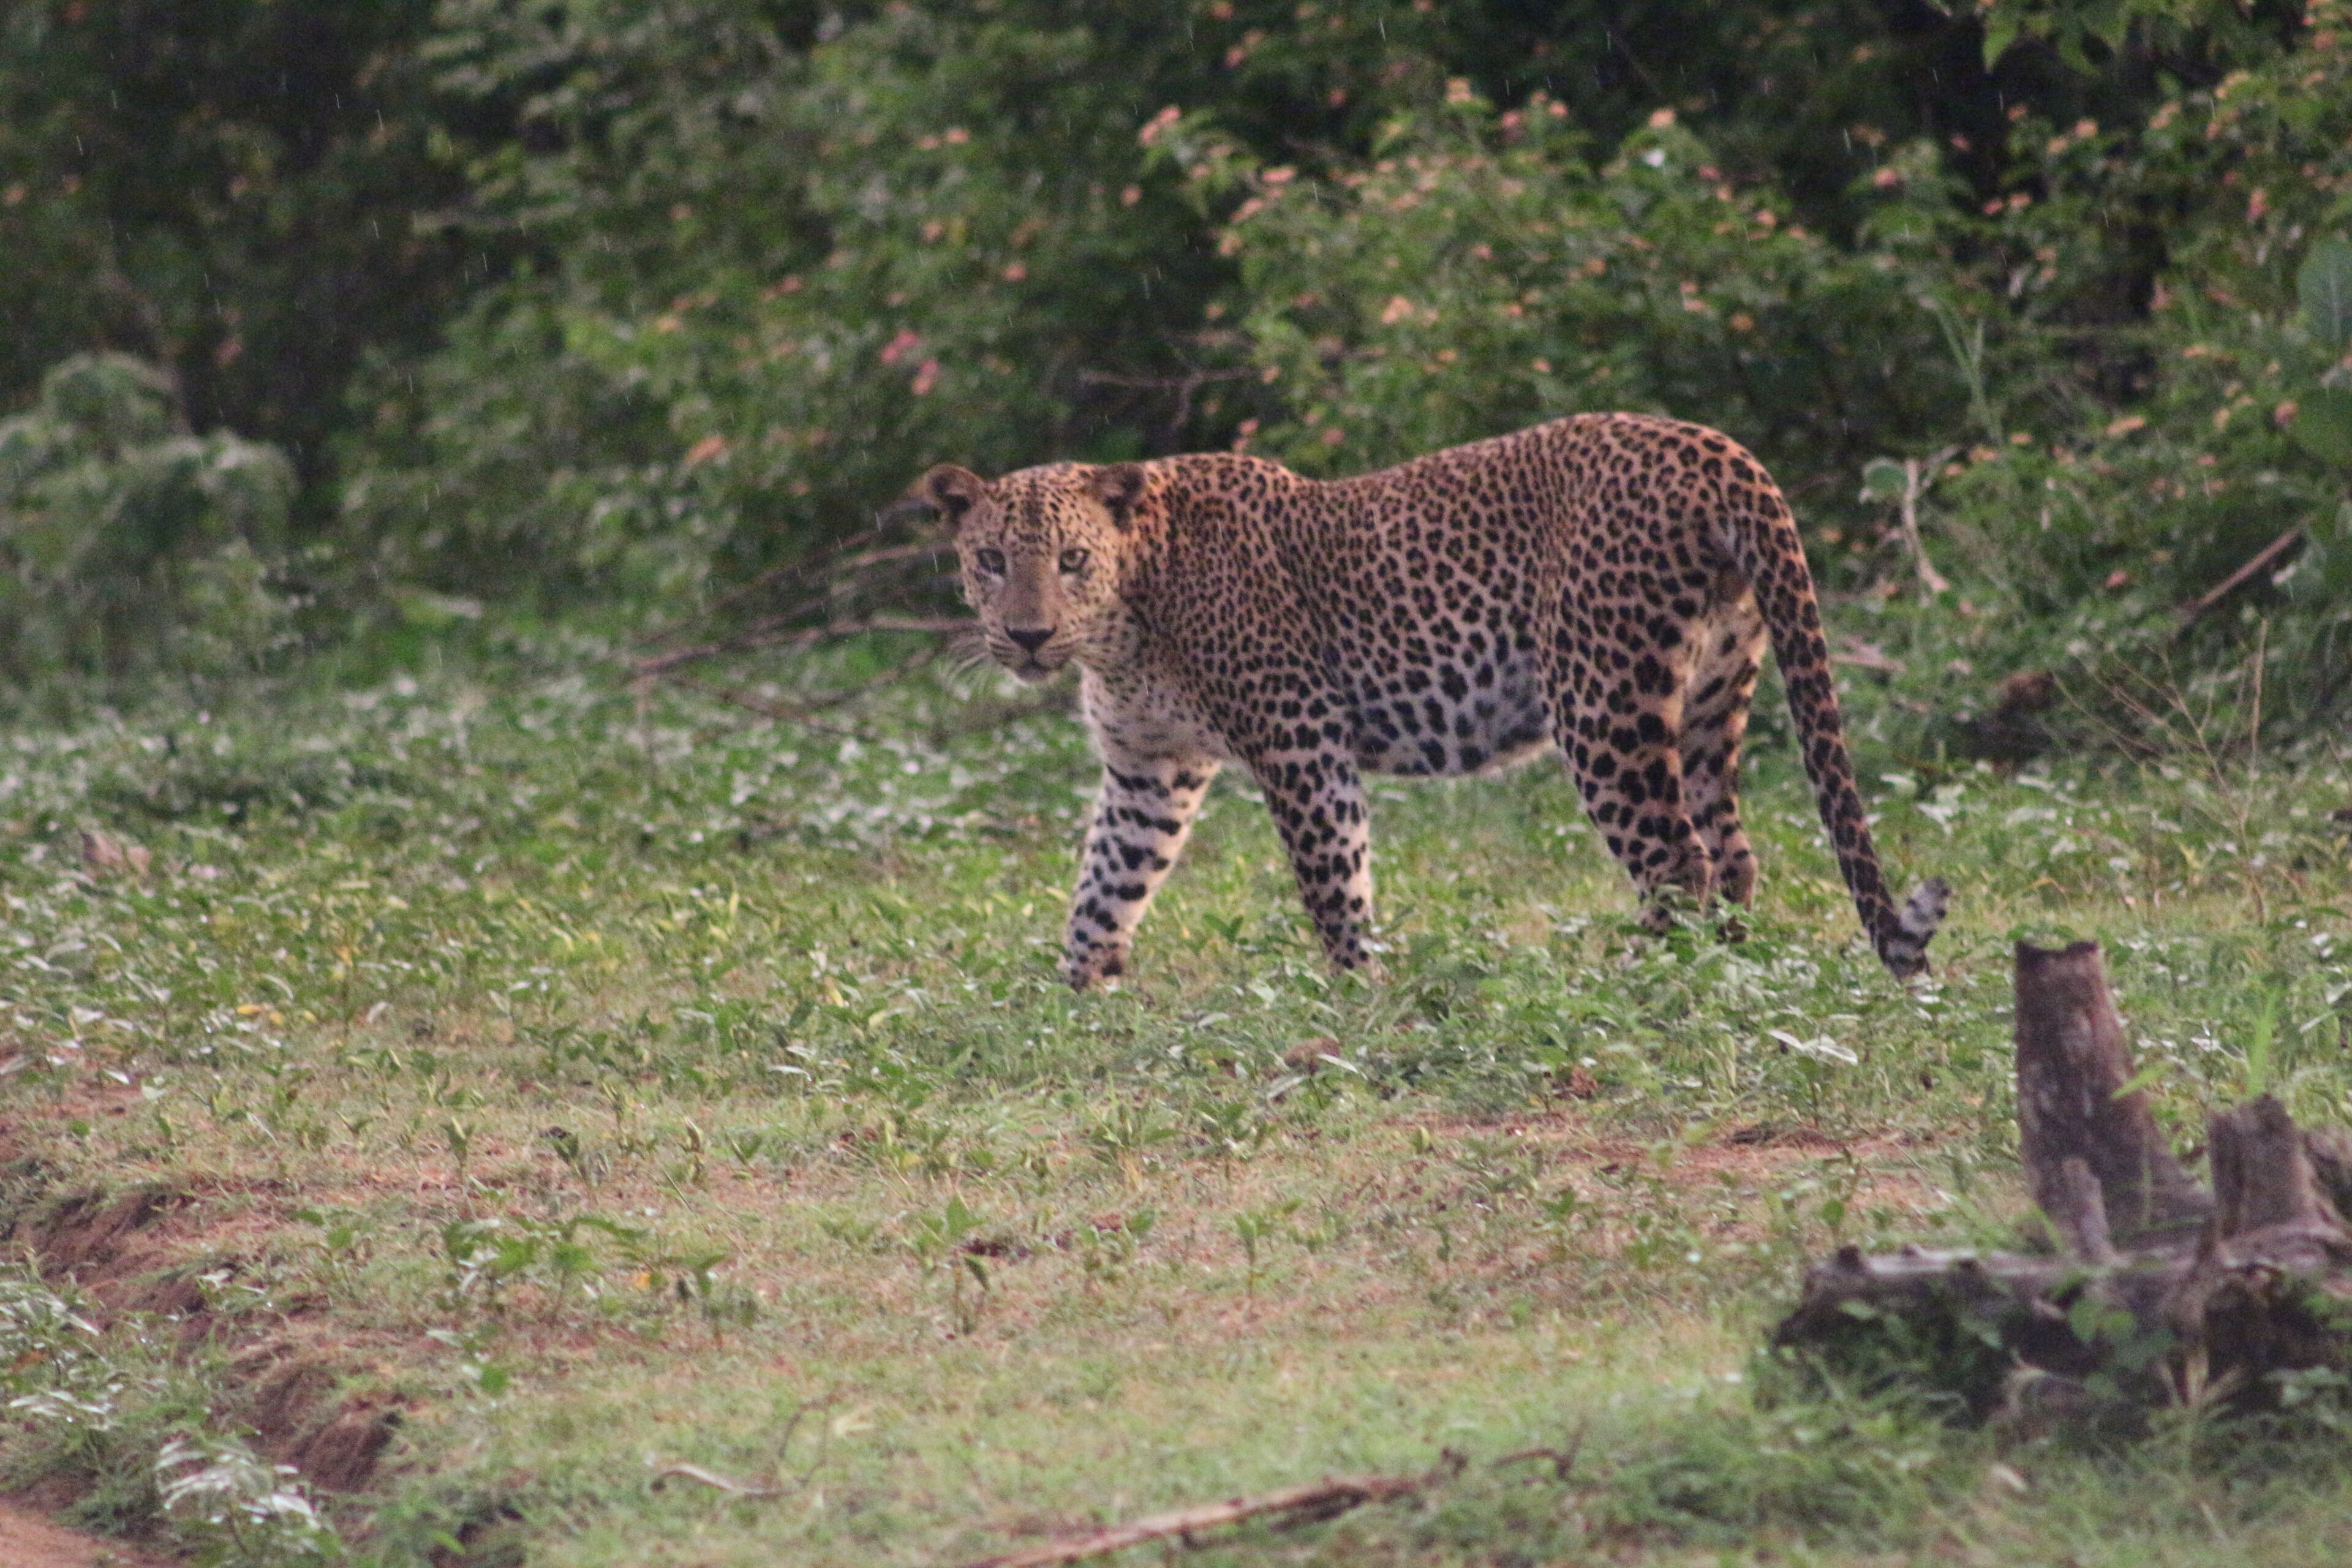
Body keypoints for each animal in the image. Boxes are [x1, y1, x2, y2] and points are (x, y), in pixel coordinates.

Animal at [909, 413, 1948, 990]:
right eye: (990, 560)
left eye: (1071, 560)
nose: (1028, 636)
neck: (1123, 633)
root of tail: (1719, 450)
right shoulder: (1148, 770)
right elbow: (1105, 885)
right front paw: (1075, 996)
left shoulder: (1299, 738)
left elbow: (1332, 879)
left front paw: (1361, 989)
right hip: (1711, 693)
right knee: (1731, 853)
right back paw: (1728, 968)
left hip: (1601, 696)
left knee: (1677, 859)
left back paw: (1645, 979)